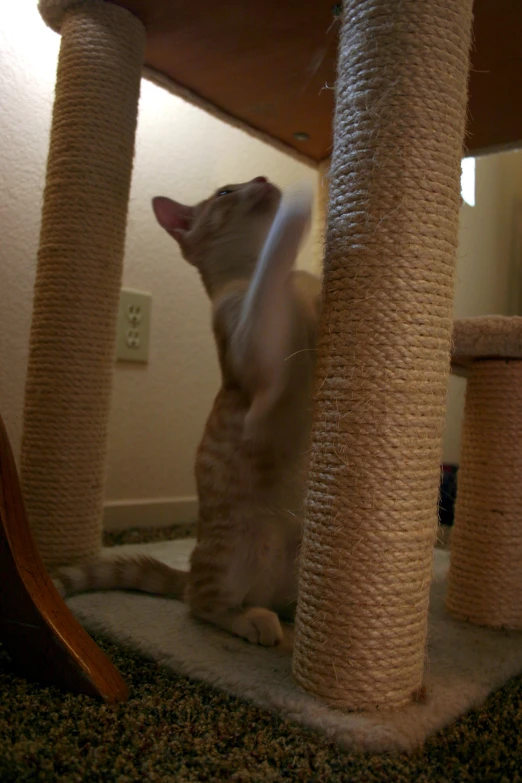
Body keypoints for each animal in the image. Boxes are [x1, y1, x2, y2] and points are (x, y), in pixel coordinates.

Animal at [54, 179, 318, 648]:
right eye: (227, 191)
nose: (264, 179)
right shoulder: (254, 355)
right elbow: (268, 283)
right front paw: (296, 216)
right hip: (239, 550)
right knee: (201, 604)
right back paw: (256, 621)